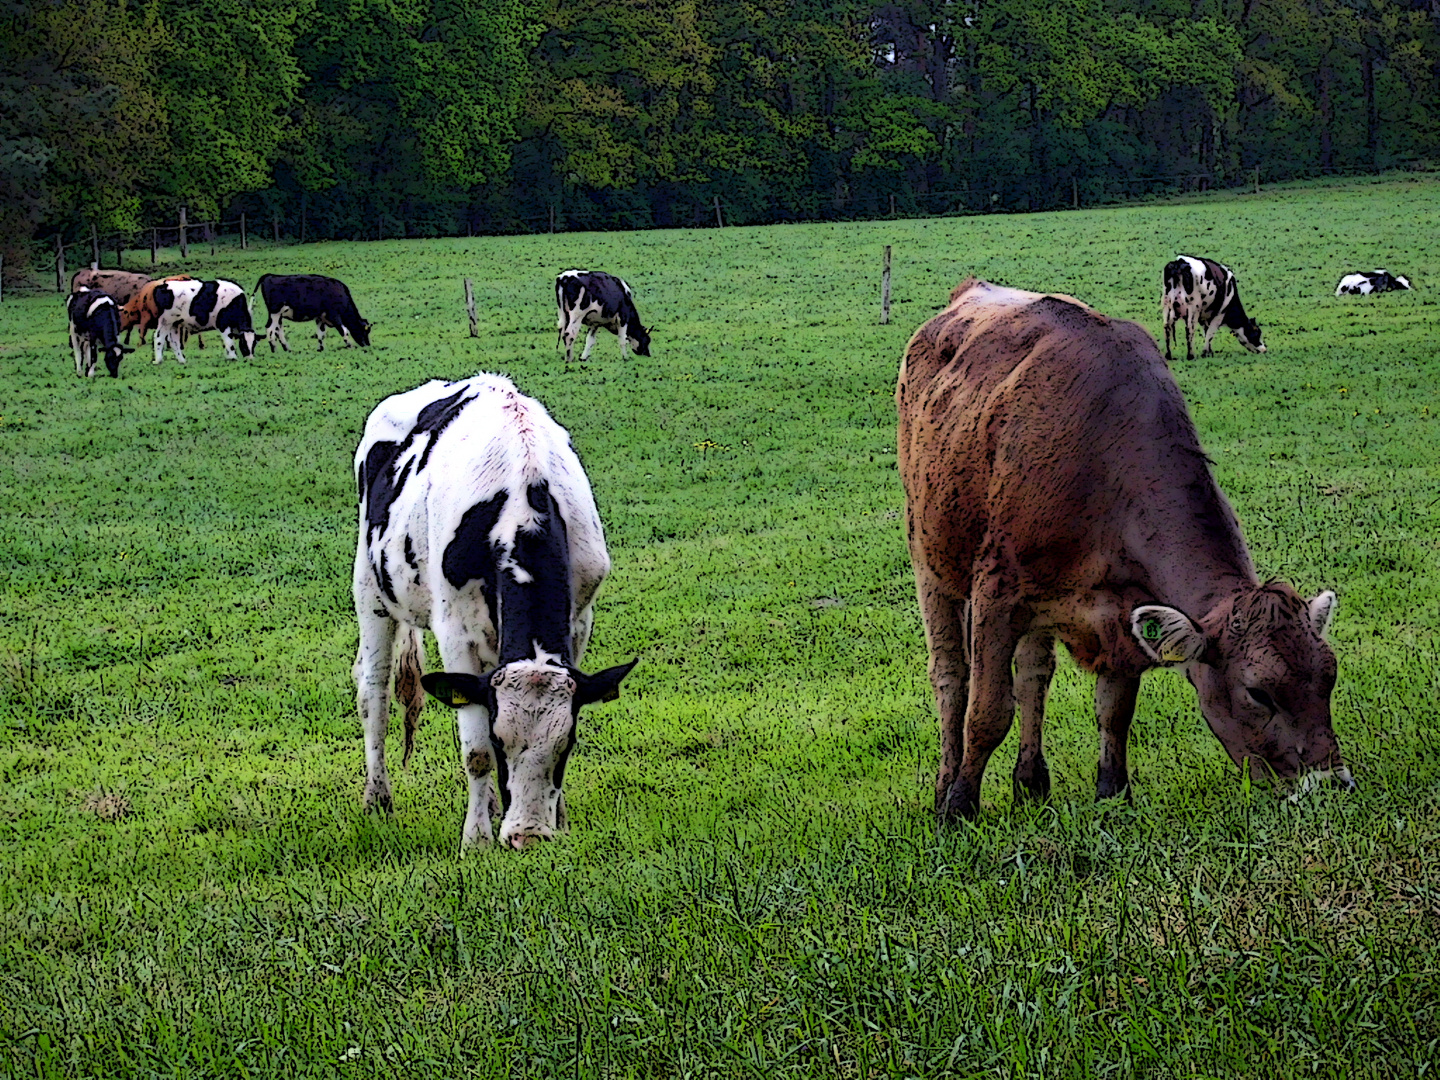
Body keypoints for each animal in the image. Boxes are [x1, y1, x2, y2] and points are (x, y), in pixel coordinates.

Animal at [354, 371, 636, 852]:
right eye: (502, 745)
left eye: (566, 745)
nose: (528, 837)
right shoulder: (455, 632)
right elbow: (475, 750)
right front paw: (476, 840)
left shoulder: (579, 621)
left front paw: (559, 821)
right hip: (371, 591)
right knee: (375, 695)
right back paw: (379, 799)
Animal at [892, 279, 1353, 817]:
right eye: (1259, 693)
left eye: (1329, 677)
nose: (1332, 784)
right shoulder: (996, 591)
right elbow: (986, 712)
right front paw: (959, 807)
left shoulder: (1124, 611)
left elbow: (1114, 709)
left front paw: (1112, 792)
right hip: (931, 558)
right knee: (951, 678)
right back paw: (946, 784)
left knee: (1033, 675)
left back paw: (1031, 781)